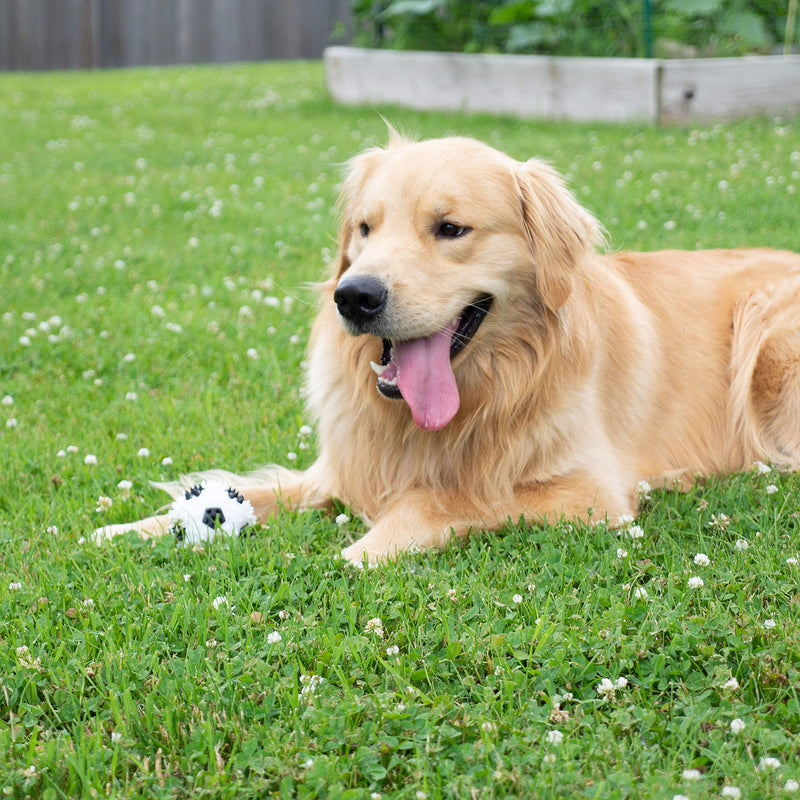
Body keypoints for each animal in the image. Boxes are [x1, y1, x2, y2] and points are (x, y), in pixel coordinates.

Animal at [97, 134, 800, 564]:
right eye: (365, 228)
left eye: (451, 229)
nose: (354, 296)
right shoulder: (338, 470)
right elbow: (251, 492)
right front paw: (135, 528)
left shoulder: (591, 493)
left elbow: (442, 495)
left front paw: (366, 548)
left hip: (766, 332)